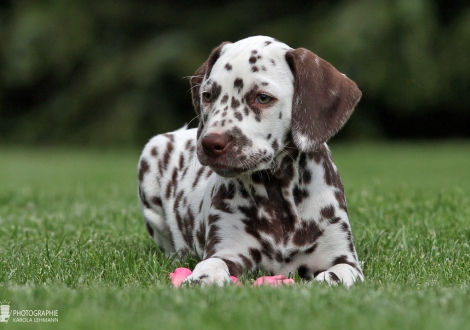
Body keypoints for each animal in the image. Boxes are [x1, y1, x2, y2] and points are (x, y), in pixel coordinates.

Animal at [136, 35, 364, 286]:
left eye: (262, 97)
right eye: (208, 95)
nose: (210, 143)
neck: (277, 194)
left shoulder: (345, 260)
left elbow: (335, 275)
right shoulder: (227, 250)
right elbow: (211, 264)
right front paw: (201, 279)